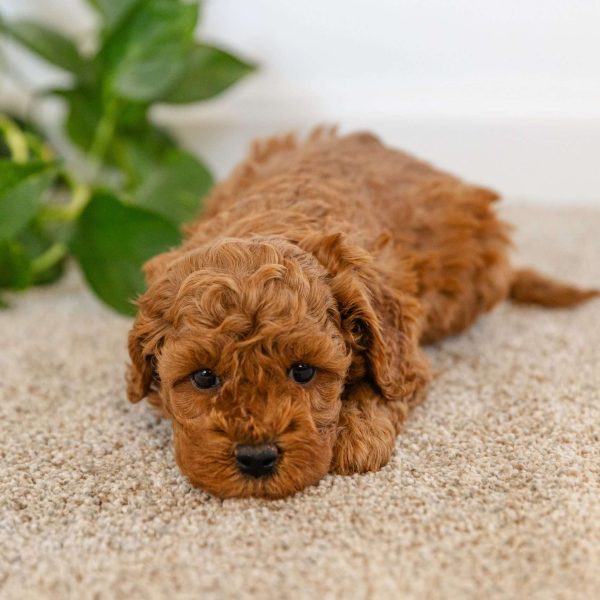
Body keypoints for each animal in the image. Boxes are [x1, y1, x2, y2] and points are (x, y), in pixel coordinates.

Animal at [125, 129, 596, 500]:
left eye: (303, 371)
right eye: (204, 377)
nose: (256, 459)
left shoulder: (404, 349)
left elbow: (386, 386)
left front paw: (357, 437)